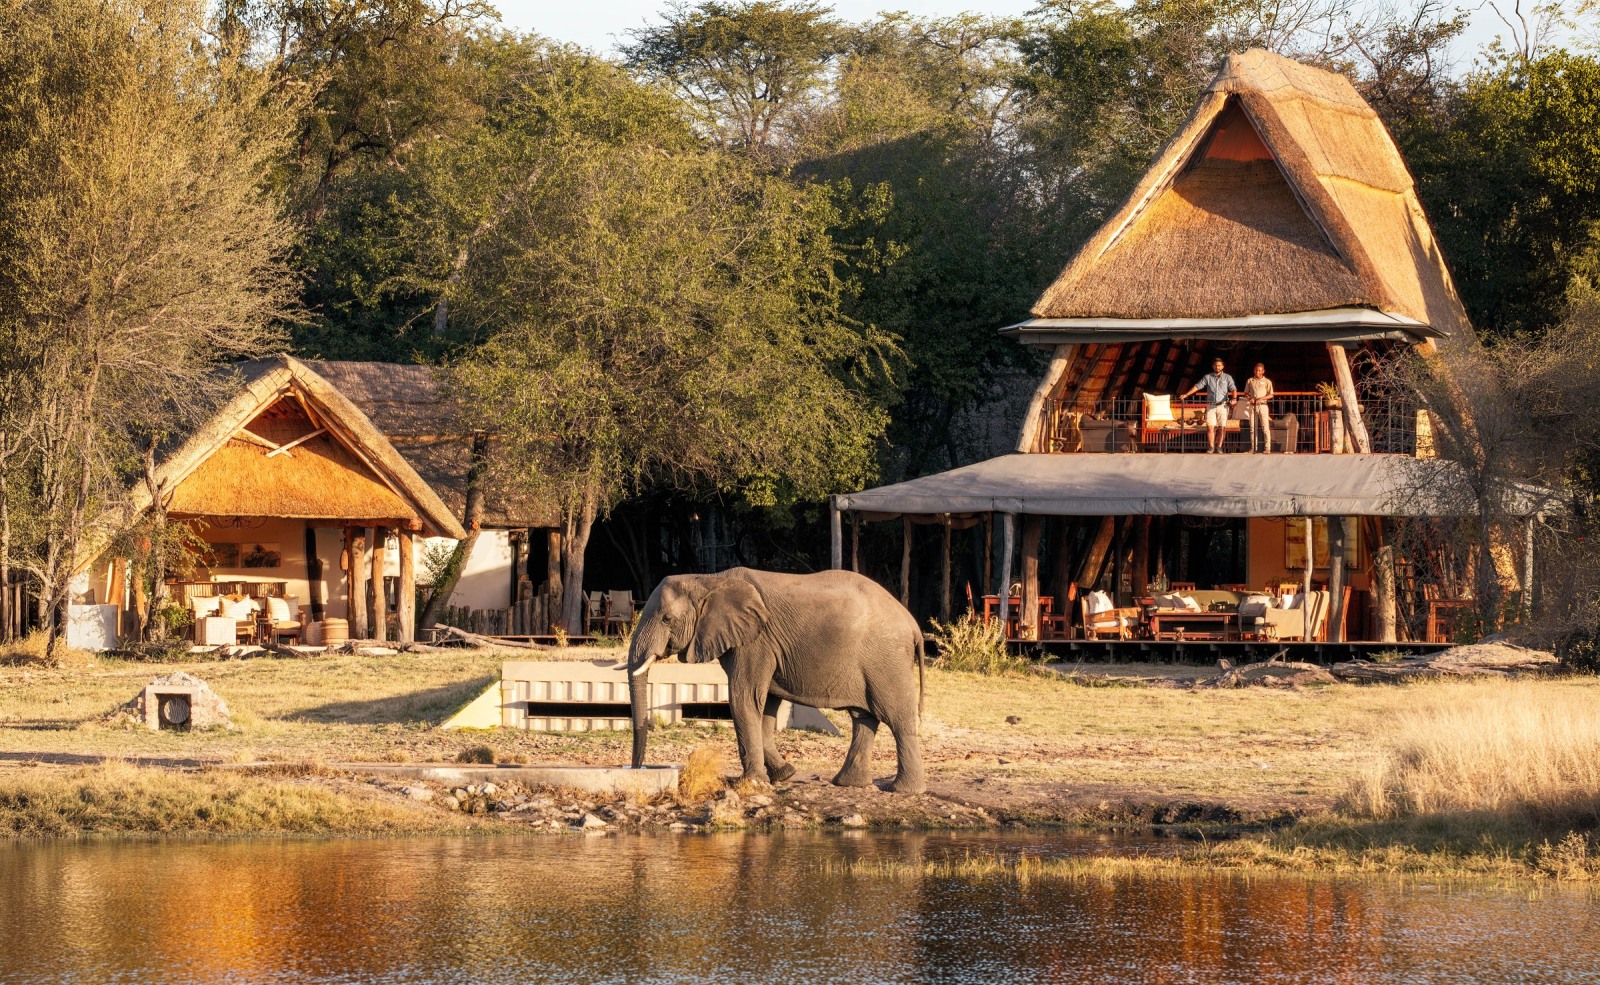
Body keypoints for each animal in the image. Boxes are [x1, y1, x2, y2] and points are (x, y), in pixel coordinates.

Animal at [626, 567, 926, 794]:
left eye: (667, 619)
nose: (637, 770)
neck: (709, 579)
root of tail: (913, 625)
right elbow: (766, 705)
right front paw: (784, 774)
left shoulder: (756, 642)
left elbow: (744, 698)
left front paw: (751, 783)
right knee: (863, 719)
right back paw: (848, 784)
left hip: (887, 660)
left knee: (897, 719)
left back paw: (903, 790)